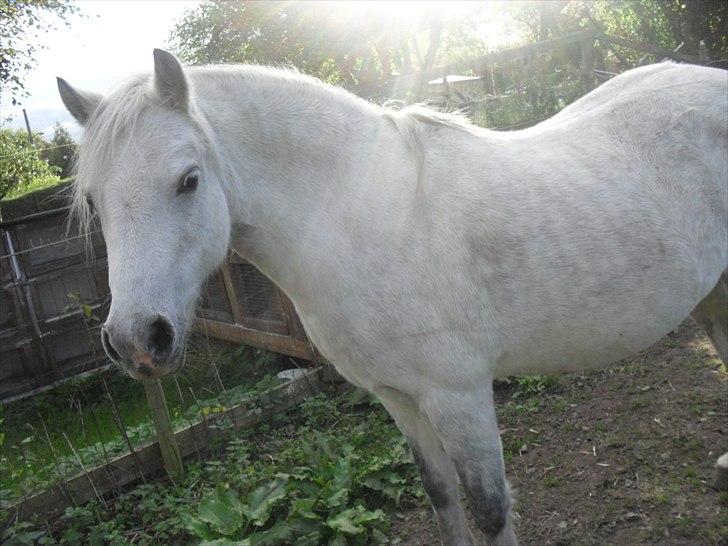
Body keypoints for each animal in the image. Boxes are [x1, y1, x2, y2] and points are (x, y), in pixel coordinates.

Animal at [58, 50, 727, 545]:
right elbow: (442, 499)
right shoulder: (398, 398)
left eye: (188, 180)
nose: (137, 339)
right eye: (93, 199)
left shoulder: (459, 396)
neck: (369, 218)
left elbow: (490, 510)